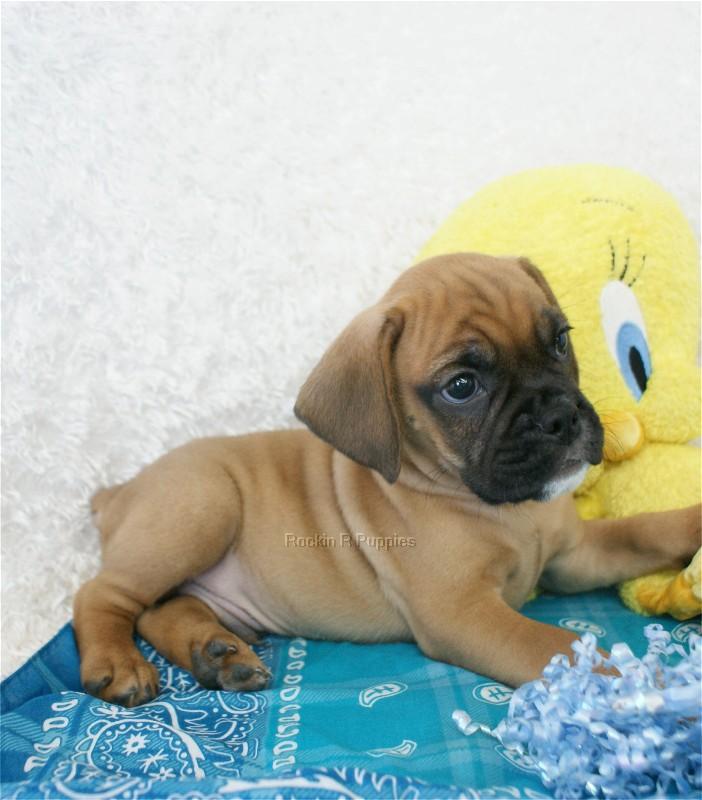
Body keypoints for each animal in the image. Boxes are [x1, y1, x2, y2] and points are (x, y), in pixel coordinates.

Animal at [74, 253, 700, 707]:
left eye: (561, 340)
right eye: (462, 387)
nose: (561, 416)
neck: (508, 511)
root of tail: (120, 491)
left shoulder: (572, 559)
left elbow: (645, 530)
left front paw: (692, 524)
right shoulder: (464, 613)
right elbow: (560, 645)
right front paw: (644, 687)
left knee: (158, 608)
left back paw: (215, 651)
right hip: (202, 506)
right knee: (103, 595)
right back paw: (119, 663)